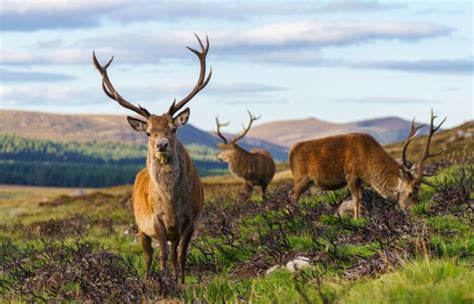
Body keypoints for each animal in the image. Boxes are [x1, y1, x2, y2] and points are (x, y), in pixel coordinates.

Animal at [92, 34, 211, 284]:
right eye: (148, 132)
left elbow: (181, 254)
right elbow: (162, 255)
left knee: (174, 252)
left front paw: (181, 281)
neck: (171, 203)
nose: (161, 145)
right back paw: (147, 279)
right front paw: (163, 281)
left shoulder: (192, 217)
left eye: (173, 129)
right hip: (139, 225)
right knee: (148, 256)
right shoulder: (156, 221)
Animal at [290, 111, 446, 218]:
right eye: (410, 193)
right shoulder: (351, 174)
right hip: (300, 178)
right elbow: (356, 200)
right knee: (292, 196)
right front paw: (357, 220)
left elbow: (361, 200)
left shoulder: (362, 181)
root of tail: (291, 152)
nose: (418, 209)